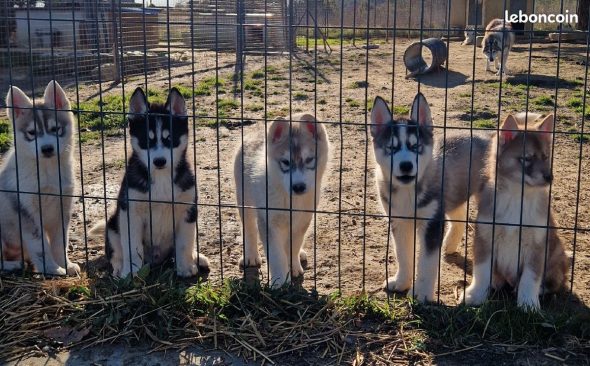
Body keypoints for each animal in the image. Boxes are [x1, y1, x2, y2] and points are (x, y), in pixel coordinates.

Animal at [0, 80, 80, 274]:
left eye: (55, 129)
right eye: (32, 133)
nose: (47, 149)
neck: (47, 171)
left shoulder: (63, 207)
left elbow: (60, 242)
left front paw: (66, 265)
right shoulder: (28, 212)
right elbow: (41, 246)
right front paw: (53, 269)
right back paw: (13, 265)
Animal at [92, 88, 210, 278]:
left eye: (170, 139)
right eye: (147, 141)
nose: (159, 161)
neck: (161, 178)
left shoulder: (188, 209)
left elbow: (185, 243)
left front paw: (185, 267)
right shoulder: (130, 211)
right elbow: (132, 248)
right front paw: (131, 272)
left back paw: (197, 257)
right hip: (112, 224)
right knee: (115, 252)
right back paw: (119, 267)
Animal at [234, 113, 330, 288]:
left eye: (309, 159)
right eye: (285, 162)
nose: (298, 187)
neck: (291, 200)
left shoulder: (303, 219)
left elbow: (293, 245)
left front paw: (293, 267)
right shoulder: (269, 220)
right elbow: (276, 254)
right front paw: (280, 282)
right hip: (244, 199)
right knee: (249, 228)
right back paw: (251, 256)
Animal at [372, 93, 492, 302]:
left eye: (415, 146)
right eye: (392, 148)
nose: (406, 166)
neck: (408, 192)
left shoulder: (432, 222)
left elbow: (426, 263)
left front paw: (421, 293)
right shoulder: (399, 221)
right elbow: (402, 254)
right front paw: (401, 281)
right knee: (459, 215)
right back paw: (449, 244)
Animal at [464, 113, 572, 310]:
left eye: (546, 156)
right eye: (527, 158)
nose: (549, 177)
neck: (517, 197)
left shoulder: (537, 244)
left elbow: (530, 277)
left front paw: (528, 304)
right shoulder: (485, 237)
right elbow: (482, 270)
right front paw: (475, 295)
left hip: (556, 254)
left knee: (555, 282)